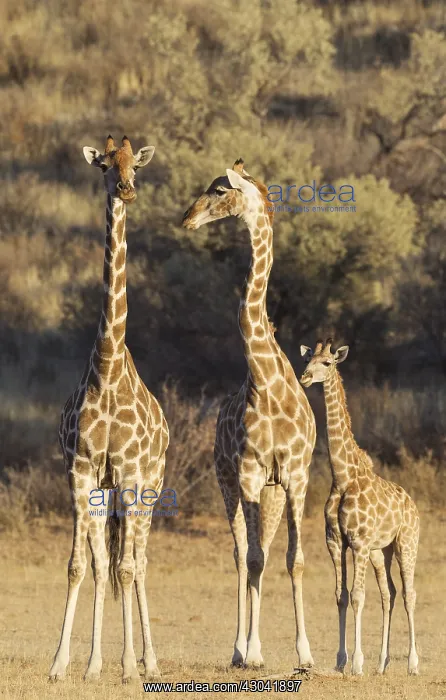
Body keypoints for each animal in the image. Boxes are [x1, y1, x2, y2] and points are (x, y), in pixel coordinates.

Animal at [182, 160, 316, 669]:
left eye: (220, 190)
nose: (187, 218)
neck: (265, 379)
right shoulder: (249, 474)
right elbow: (253, 559)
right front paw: (252, 652)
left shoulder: (296, 476)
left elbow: (294, 559)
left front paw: (306, 654)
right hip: (228, 483)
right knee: (243, 554)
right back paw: (242, 648)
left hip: (274, 494)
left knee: (265, 551)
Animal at [299, 339, 419, 676]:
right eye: (307, 359)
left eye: (327, 363)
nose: (304, 377)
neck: (342, 475)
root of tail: (413, 505)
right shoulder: (336, 541)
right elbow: (340, 596)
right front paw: (342, 661)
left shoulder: (359, 541)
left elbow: (357, 596)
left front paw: (356, 663)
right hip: (383, 551)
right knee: (389, 593)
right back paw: (382, 663)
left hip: (406, 543)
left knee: (409, 593)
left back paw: (412, 664)